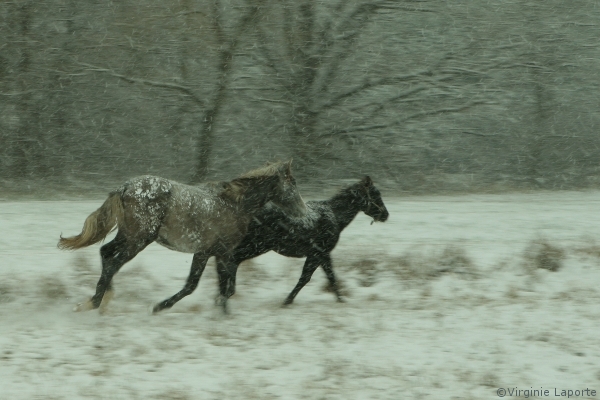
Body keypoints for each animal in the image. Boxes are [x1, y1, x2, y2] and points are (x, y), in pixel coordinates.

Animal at [58, 161, 308, 314]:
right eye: (293, 183)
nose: (304, 212)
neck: (234, 205)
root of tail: (126, 187)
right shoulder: (222, 252)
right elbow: (213, 288)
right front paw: (160, 307)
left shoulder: (209, 253)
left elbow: (203, 286)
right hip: (139, 240)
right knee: (113, 262)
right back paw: (94, 302)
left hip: (128, 235)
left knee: (106, 253)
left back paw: (101, 299)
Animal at [214, 175, 390, 310]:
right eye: (375, 194)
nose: (385, 215)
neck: (333, 215)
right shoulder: (319, 253)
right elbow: (313, 278)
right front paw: (288, 301)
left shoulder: (320, 254)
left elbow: (322, 277)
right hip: (257, 246)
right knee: (230, 261)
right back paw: (225, 295)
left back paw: (222, 295)